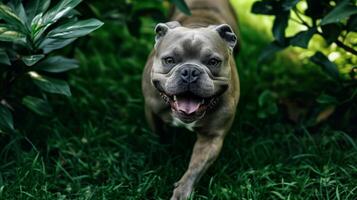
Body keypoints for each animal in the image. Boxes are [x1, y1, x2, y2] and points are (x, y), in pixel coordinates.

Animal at [142, 0, 239, 198]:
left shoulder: (211, 138)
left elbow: (196, 167)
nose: (190, 72)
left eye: (213, 62)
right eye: (169, 60)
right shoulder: (151, 109)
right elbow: (158, 133)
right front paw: (163, 150)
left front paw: (183, 191)